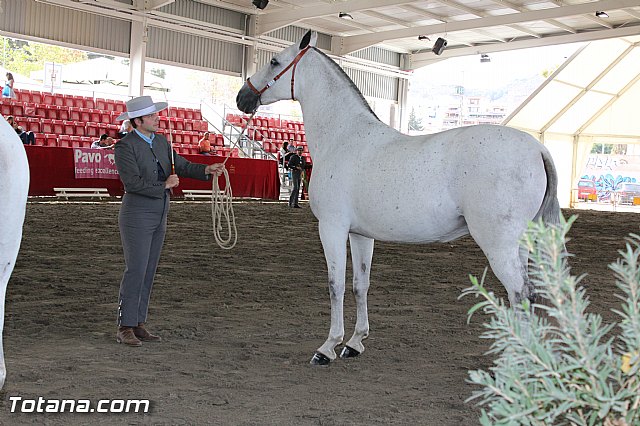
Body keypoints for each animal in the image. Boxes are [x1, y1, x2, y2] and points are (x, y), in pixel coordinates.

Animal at [236, 31, 561, 365]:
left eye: (275, 61)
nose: (242, 97)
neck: (343, 137)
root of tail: (538, 148)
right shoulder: (360, 234)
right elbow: (360, 285)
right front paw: (355, 342)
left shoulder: (331, 228)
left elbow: (335, 285)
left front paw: (328, 347)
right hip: (521, 245)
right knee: (529, 295)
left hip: (498, 244)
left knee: (520, 293)